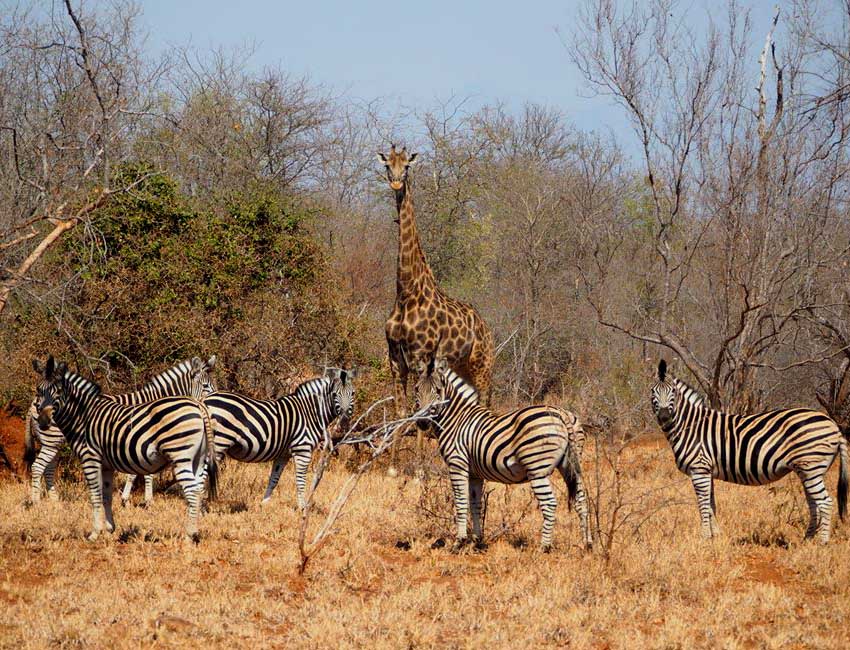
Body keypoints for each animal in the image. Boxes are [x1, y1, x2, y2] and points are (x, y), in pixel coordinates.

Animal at [34, 356, 218, 542]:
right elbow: (106, 495)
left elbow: (96, 494)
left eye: (58, 391)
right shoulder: (108, 462)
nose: (43, 420)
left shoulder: (91, 457)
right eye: (39, 390)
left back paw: (189, 535)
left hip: (181, 457)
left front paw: (95, 532)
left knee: (193, 491)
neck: (83, 415)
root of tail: (198, 406)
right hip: (196, 459)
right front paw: (110, 528)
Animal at [200, 367, 357, 508]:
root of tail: (204, 400)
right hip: (218, 443)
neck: (310, 412)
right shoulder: (302, 449)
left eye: (353, 394)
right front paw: (302, 508)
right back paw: (201, 507)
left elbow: (274, 479)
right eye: (335, 394)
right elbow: (300, 480)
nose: (344, 423)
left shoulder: (283, 454)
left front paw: (264, 504)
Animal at [377, 145, 495, 475]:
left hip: (483, 365)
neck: (406, 293)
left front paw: (417, 471)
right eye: (387, 165)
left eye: (407, 166)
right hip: (462, 367)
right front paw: (392, 467)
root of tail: (486, 327)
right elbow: (401, 409)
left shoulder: (420, 358)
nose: (396, 183)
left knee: (485, 404)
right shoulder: (395, 358)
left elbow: (419, 412)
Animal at [413, 357, 591, 552]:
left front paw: (459, 542)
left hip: (537, 468)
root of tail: (562, 413)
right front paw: (477, 540)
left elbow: (460, 502)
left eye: (438, 391)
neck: (456, 419)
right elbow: (476, 503)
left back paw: (544, 547)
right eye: (417, 389)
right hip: (571, 465)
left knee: (549, 503)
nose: (422, 422)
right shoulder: (475, 474)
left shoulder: (457, 464)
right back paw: (587, 544)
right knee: (581, 499)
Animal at [651, 359, 849, 543]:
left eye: (673, 392)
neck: (690, 426)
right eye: (653, 392)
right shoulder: (706, 470)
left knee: (825, 502)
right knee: (814, 503)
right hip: (807, 469)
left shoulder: (699, 469)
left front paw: (705, 537)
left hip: (811, 467)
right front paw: (717, 536)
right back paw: (807, 539)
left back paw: (822, 542)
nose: (664, 417)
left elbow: (703, 505)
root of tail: (834, 425)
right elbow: (711, 504)